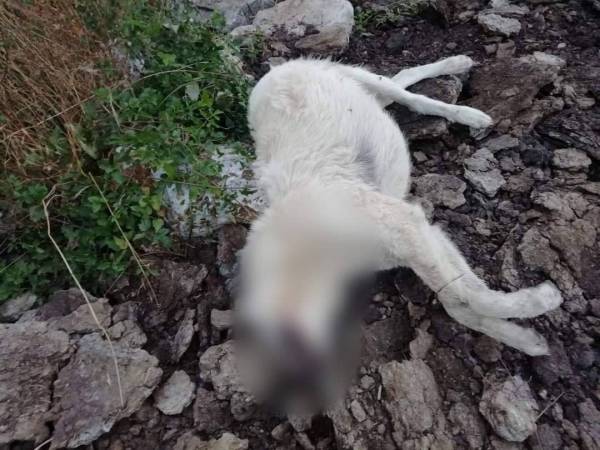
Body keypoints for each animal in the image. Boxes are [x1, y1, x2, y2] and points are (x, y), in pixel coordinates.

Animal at [236, 56, 563, 408]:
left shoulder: (404, 227)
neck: (310, 248)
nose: (310, 381)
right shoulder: (417, 235)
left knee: (409, 92)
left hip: (354, 76)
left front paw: (542, 299)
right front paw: (528, 339)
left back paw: (467, 100)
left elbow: (467, 295)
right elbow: (457, 301)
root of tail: (271, 73)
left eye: (284, 340)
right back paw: (458, 71)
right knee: (401, 80)